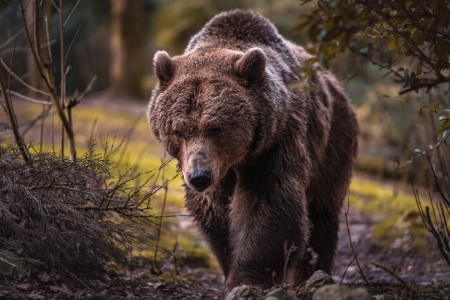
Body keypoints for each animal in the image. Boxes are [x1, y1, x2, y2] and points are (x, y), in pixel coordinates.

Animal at [148, 9, 358, 298]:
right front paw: (230, 269)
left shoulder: (276, 140)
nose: (199, 177)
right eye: (179, 131)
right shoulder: (216, 171)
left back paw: (310, 276)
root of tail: (336, 85)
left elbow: (268, 205)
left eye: (216, 128)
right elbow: (215, 213)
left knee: (322, 211)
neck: (236, 160)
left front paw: (246, 280)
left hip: (332, 140)